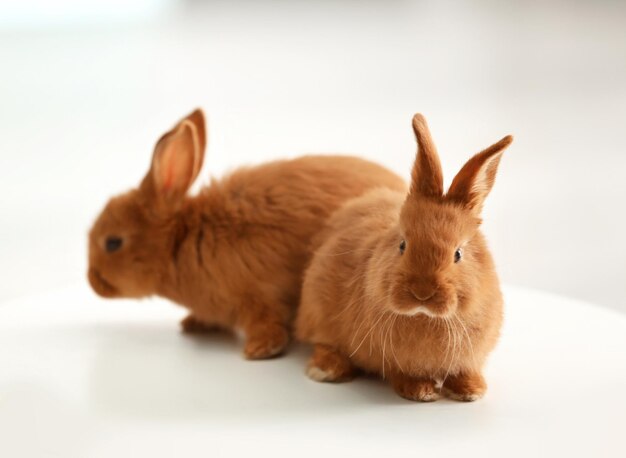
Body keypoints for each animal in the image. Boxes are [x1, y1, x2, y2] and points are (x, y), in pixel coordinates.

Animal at [86, 109, 404, 360]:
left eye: (113, 243)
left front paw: (259, 350)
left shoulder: (257, 296)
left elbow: (267, 323)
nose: (92, 282)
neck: (183, 240)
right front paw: (192, 324)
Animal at [294, 114, 512, 400]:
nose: (422, 293)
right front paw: (421, 392)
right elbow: (402, 373)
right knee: (324, 342)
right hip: (318, 309)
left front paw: (472, 391)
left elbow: (463, 370)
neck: (426, 317)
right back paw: (325, 370)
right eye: (402, 245)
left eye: (458, 254)